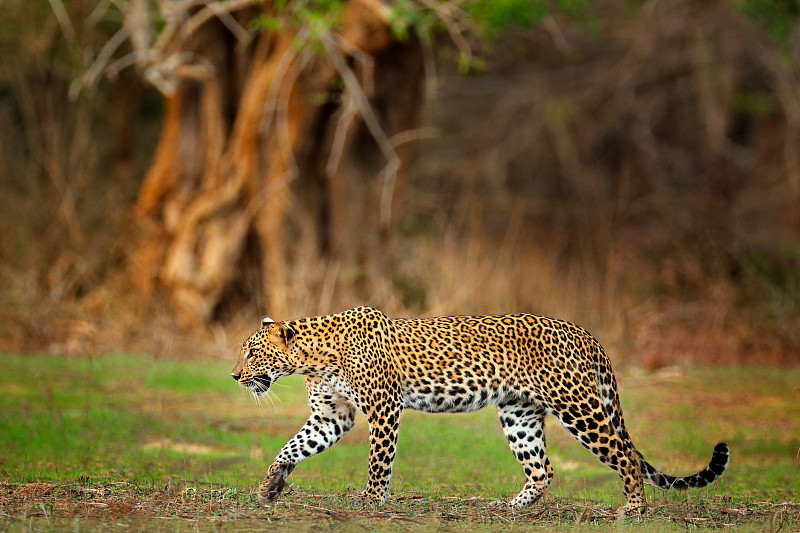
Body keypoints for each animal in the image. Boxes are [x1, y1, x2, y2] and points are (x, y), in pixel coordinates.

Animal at [228, 308, 728, 516]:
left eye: (252, 353)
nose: (234, 376)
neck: (314, 357)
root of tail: (585, 333)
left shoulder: (383, 409)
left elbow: (378, 462)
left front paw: (370, 501)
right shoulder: (332, 416)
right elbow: (293, 447)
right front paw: (270, 486)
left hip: (578, 407)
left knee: (625, 457)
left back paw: (632, 510)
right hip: (519, 414)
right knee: (543, 469)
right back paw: (512, 508)